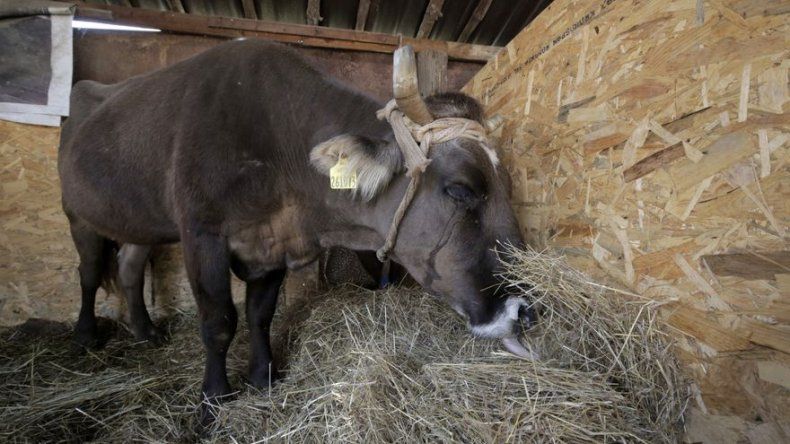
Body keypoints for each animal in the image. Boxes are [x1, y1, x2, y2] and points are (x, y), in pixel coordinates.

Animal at [58, 40, 533, 422]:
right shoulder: (202, 233)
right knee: (88, 271)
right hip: (78, 214)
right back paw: (85, 336)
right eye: (460, 189)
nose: (525, 310)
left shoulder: (272, 243)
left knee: (129, 266)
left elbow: (259, 314)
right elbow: (219, 321)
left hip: (137, 221)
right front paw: (214, 401)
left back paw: (145, 331)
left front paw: (262, 378)